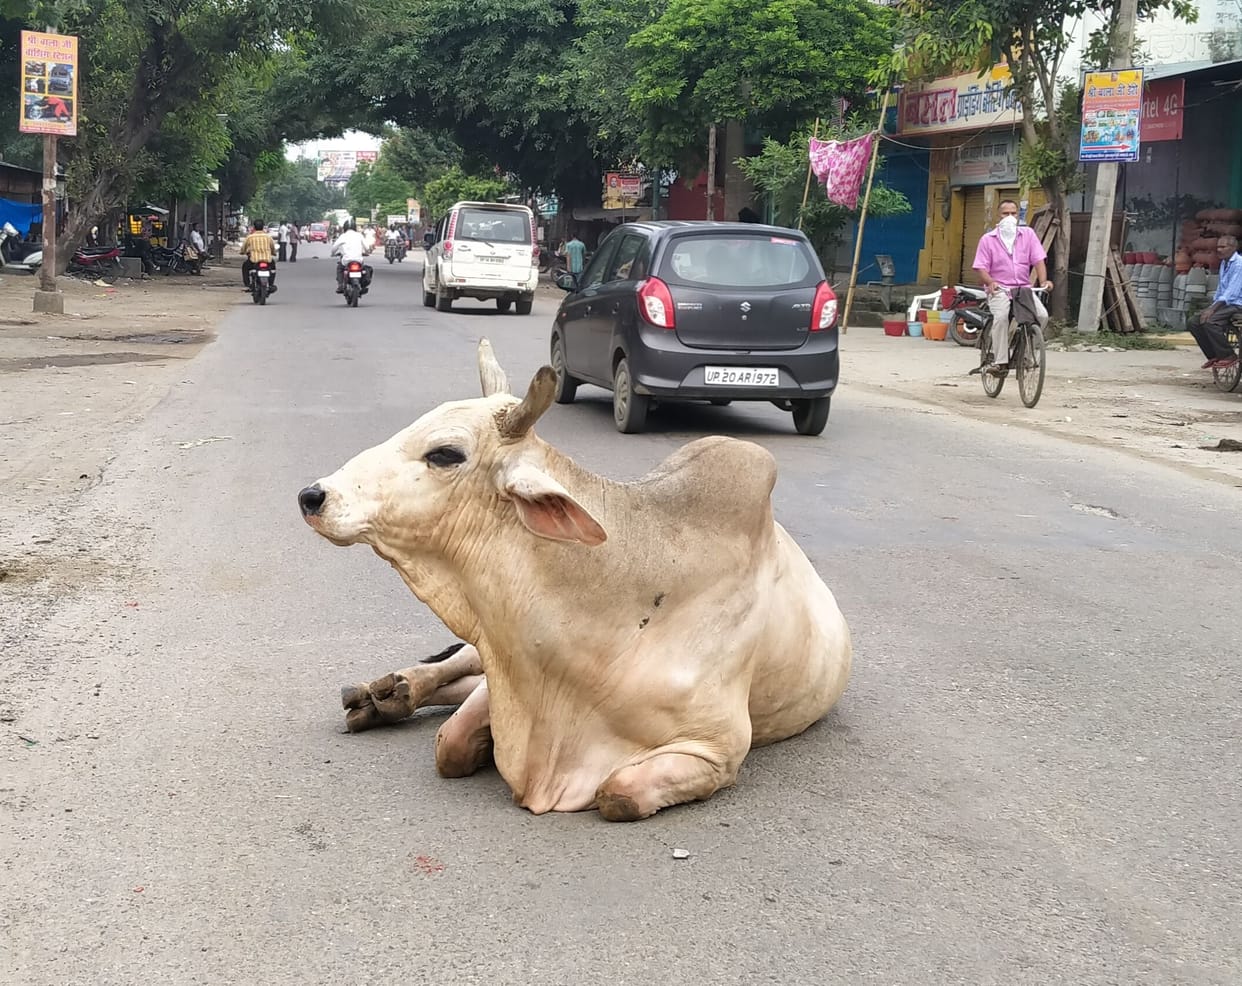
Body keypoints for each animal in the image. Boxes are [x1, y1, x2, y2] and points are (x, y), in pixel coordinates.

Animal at [297, 339, 852, 821]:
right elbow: (449, 744)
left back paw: (387, 696)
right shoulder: (502, 661)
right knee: (454, 665)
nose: (313, 496)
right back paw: (386, 692)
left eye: (445, 454)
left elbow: (618, 794)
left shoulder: (719, 748)